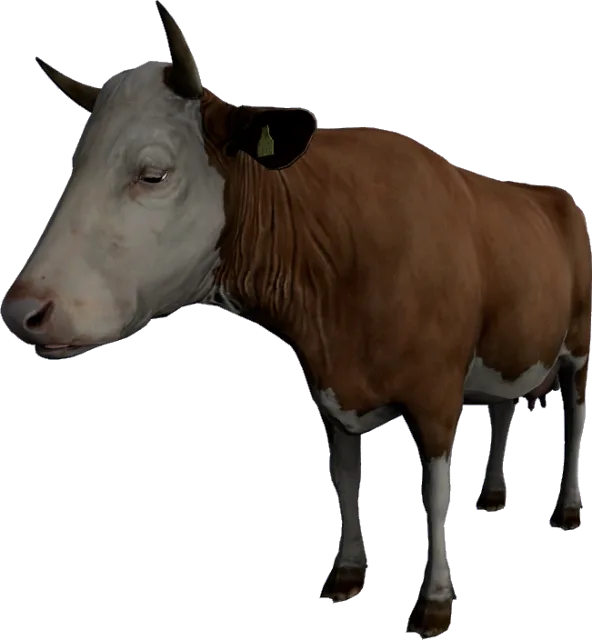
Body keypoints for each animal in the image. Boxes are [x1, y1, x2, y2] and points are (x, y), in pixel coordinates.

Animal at [3, 3, 589, 637]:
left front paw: (434, 603)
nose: (21, 310)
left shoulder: (436, 394)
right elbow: (345, 475)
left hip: (577, 346)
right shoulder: (331, 389)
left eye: (152, 173)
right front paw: (346, 575)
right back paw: (493, 495)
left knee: (576, 417)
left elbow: (433, 490)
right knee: (504, 405)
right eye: (75, 164)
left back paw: (567, 508)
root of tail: (552, 195)